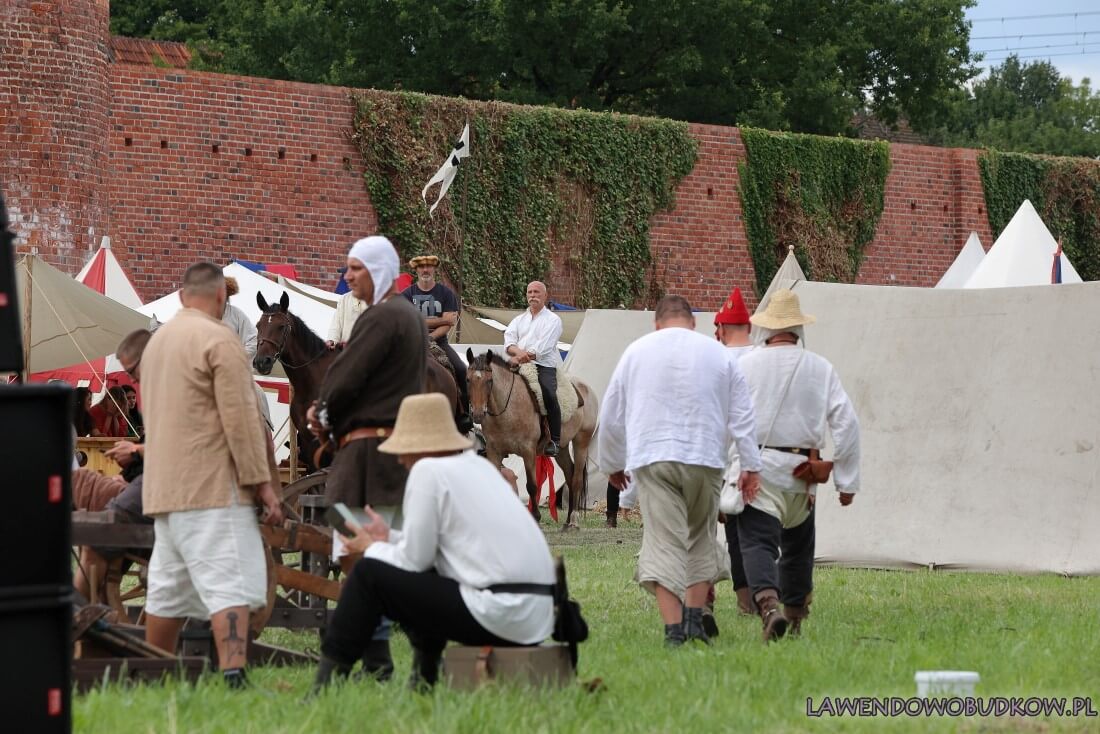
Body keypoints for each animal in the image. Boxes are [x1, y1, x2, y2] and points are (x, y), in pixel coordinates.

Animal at [254, 292, 461, 470]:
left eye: (281, 327)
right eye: (258, 326)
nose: (261, 362)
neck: (313, 382)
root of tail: (443, 372)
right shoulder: (308, 442)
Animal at [465, 349, 598, 530]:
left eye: (489, 380)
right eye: (468, 379)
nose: (478, 414)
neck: (509, 408)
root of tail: (586, 389)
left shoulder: (528, 451)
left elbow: (532, 486)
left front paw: (535, 517)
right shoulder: (494, 452)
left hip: (581, 442)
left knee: (577, 479)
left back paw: (574, 520)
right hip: (562, 448)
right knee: (570, 475)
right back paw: (567, 521)